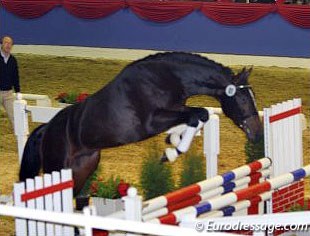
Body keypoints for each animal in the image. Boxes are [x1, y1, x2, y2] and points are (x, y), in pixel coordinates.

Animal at [18, 52, 262, 195]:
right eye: (243, 99)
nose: (258, 133)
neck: (167, 77)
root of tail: (46, 129)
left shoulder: (176, 110)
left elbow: (197, 116)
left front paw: (173, 142)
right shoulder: (152, 122)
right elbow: (199, 114)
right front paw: (171, 153)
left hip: (83, 166)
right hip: (57, 166)